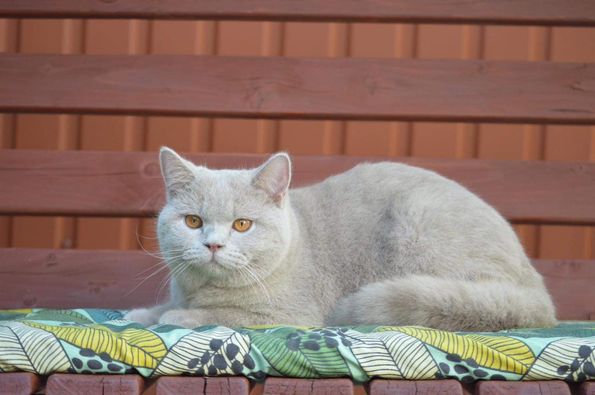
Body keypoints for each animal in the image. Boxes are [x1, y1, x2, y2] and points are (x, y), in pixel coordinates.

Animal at [125, 147, 560, 332]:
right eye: (193, 221)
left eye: (243, 225)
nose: (213, 244)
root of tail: (536, 291)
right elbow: (165, 305)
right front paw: (143, 313)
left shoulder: (290, 314)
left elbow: (221, 313)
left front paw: (177, 316)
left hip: (418, 224)